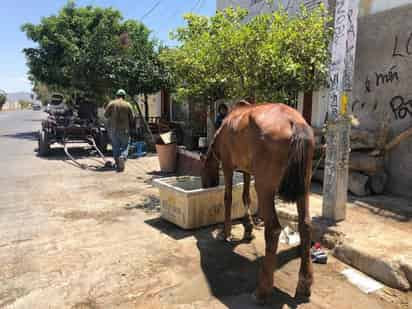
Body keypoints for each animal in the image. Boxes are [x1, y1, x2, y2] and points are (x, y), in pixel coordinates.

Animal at [201, 100, 314, 300]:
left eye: (202, 170)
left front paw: (226, 232)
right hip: (304, 187)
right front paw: (248, 228)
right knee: (305, 225)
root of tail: (294, 123)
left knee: (273, 229)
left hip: (265, 187)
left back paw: (263, 289)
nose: (205, 184)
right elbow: (245, 196)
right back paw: (304, 284)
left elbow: (228, 197)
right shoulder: (247, 171)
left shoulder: (229, 166)